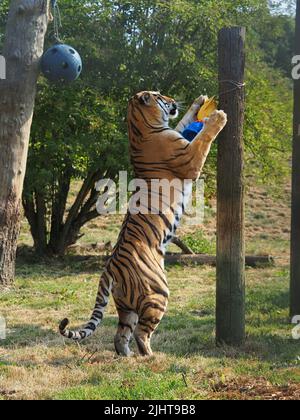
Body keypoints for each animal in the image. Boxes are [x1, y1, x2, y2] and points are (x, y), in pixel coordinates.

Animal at [59, 91, 226, 354]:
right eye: (160, 96)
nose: (172, 101)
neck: (141, 128)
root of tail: (109, 268)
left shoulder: (179, 134)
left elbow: (185, 122)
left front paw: (199, 102)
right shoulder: (189, 159)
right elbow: (203, 137)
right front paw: (217, 117)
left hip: (127, 306)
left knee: (120, 336)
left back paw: (127, 357)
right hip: (157, 293)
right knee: (140, 333)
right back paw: (152, 357)